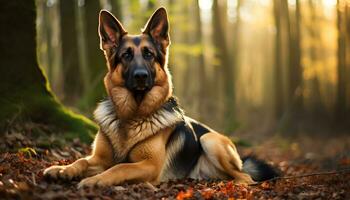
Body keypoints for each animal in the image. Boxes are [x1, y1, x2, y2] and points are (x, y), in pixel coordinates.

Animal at [43, 6, 278, 188]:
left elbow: (119, 167)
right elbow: (82, 161)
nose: (141, 76)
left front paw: (97, 180)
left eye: (149, 54)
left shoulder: (149, 165)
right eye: (126, 55)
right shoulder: (98, 158)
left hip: (209, 139)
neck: (131, 116)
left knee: (245, 177)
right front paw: (63, 169)